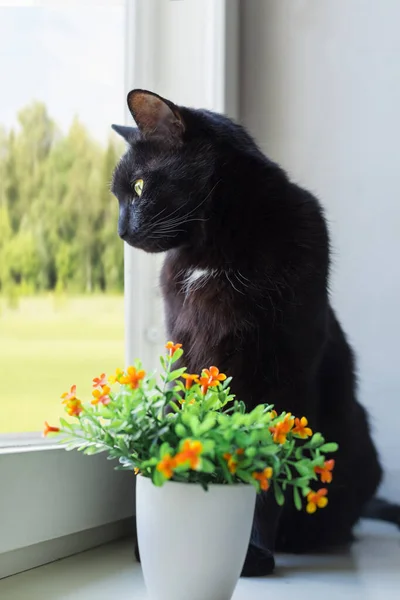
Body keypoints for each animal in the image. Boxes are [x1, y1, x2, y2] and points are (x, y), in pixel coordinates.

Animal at [111, 89, 398, 576]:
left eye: (139, 187)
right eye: (119, 196)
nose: (120, 230)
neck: (213, 252)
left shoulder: (285, 370)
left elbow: (268, 468)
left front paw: (254, 552)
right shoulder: (186, 353)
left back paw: (303, 537)